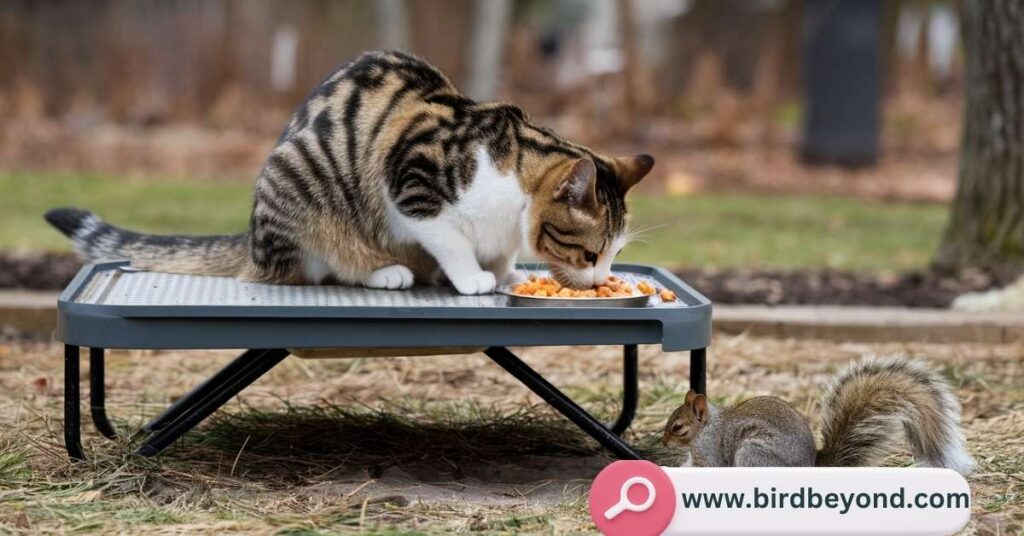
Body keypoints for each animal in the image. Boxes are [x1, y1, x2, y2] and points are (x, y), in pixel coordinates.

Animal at [44, 50, 651, 295]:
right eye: (591, 254)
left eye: (616, 255)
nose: (603, 280)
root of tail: (252, 241)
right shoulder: (413, 184)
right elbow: (453, 240)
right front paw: (473, 278)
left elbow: (499, 253)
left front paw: (504, 275)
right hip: (301, 185)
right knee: (317, 270)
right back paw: (384, 272)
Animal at [663, 356, 974, 473]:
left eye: (678, 427)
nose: (664, 442)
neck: (706, 428)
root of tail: (812, 465)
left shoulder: (711, 453)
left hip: (752, 453)